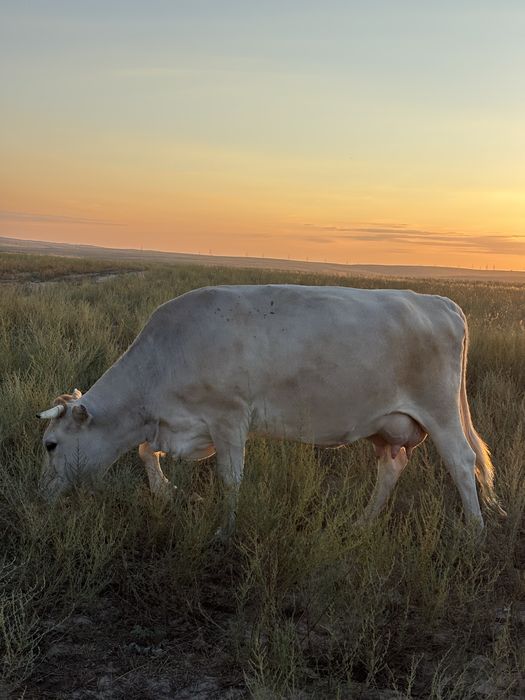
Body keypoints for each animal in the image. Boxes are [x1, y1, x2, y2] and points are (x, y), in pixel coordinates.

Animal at [37, 284, 504, 536]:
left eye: (50, 445)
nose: (42, 493)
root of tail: (440, 302)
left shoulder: (228, 417)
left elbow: (230, 479)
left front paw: (224, 530)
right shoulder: (178, 424)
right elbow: (143, 451)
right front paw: (165, 490)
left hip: (440, 410)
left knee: (461, 461)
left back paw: (475, 531)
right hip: (386, 425)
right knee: (391, 468)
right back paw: (362, 522)